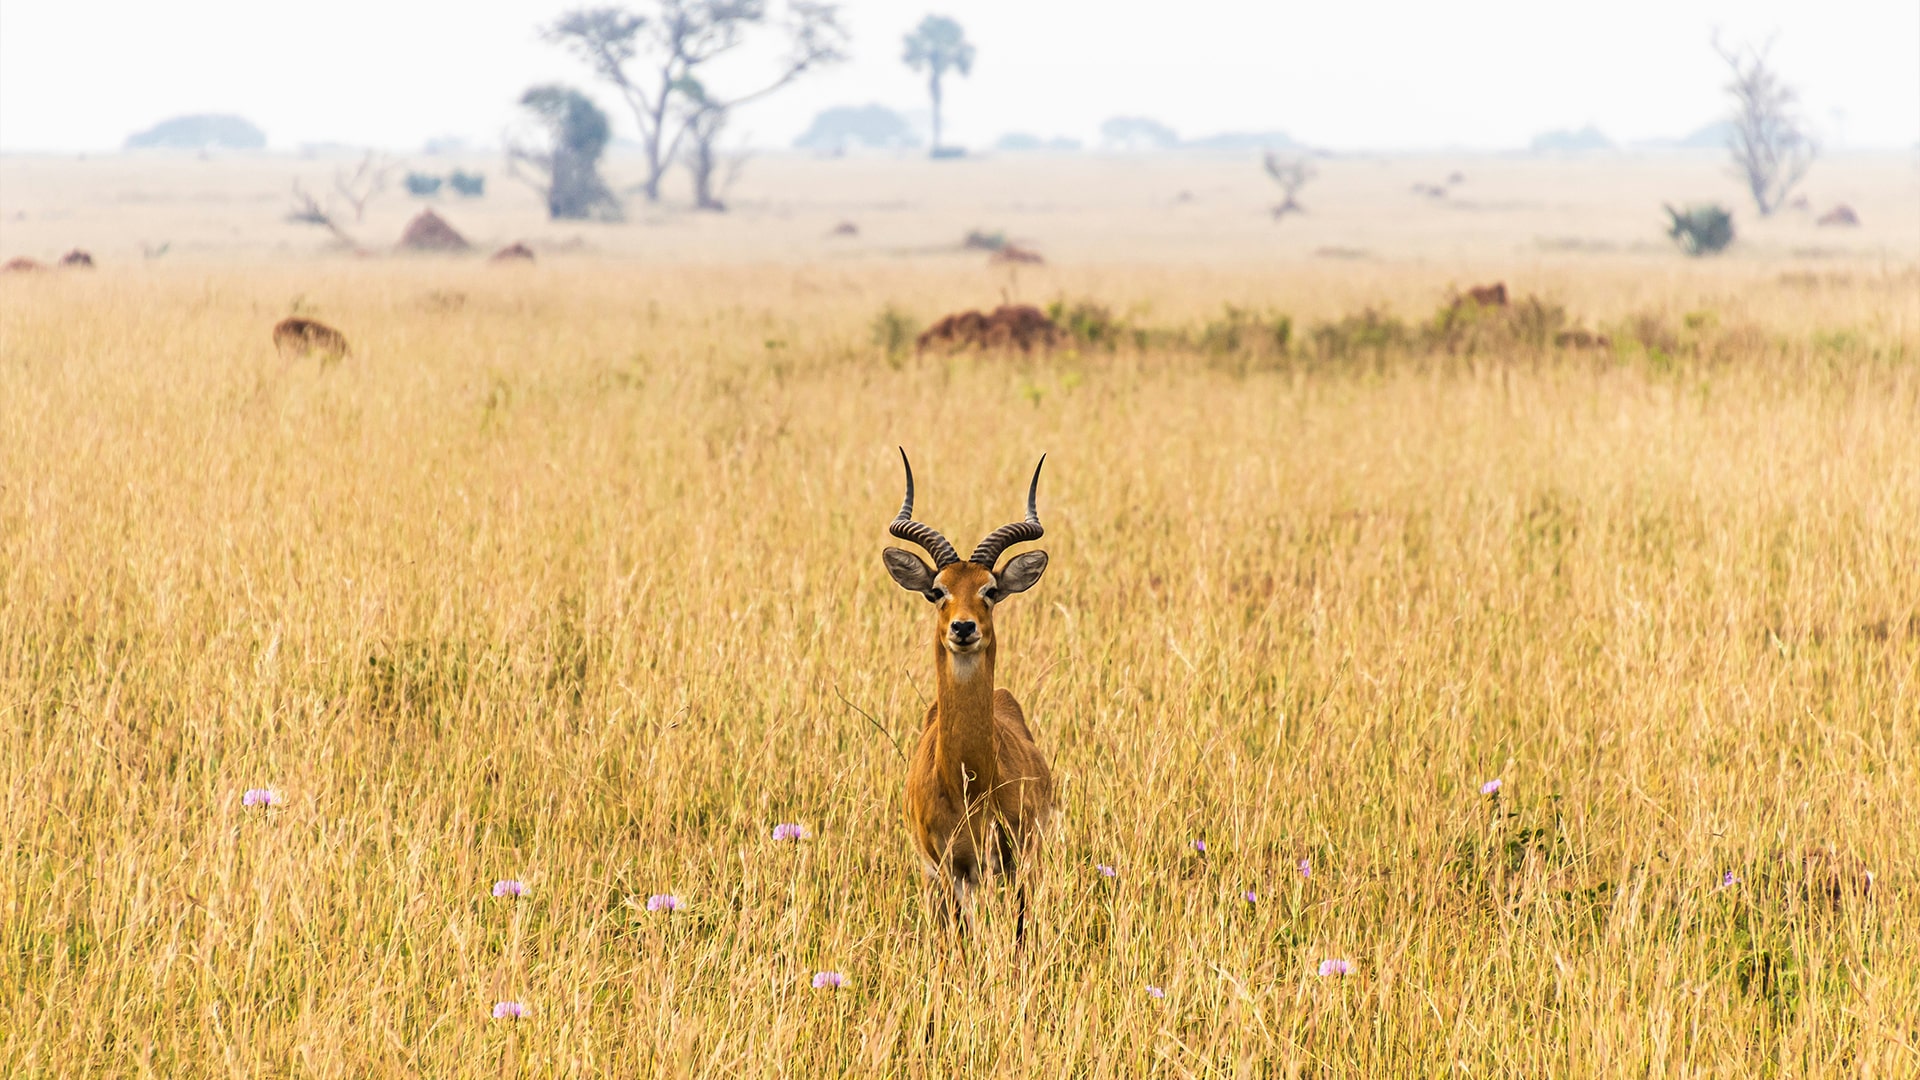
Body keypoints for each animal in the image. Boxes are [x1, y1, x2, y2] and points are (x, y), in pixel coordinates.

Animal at [879, 445, 1052, 933]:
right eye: (937, 590)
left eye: (989, 589)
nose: (963, 627)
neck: (968, 785)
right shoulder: (946, 870)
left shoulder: (1015, 861)